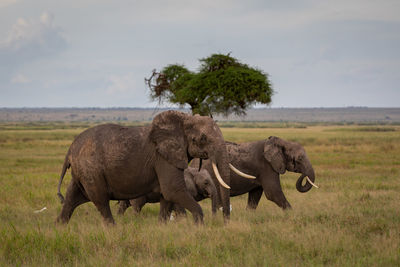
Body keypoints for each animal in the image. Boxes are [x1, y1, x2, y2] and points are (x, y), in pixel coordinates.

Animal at [55, 110, 231, 225]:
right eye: (202, 138)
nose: (225, 222)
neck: (184, 119)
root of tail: (70, 149)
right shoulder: (162, 157)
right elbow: (172, 190)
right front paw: (198, 225)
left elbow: (166, 196)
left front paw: (162, 227)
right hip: (91, 170)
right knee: (101, 200)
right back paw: (113, 229)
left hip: (82, 171)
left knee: (71, 198)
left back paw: (59, 228)